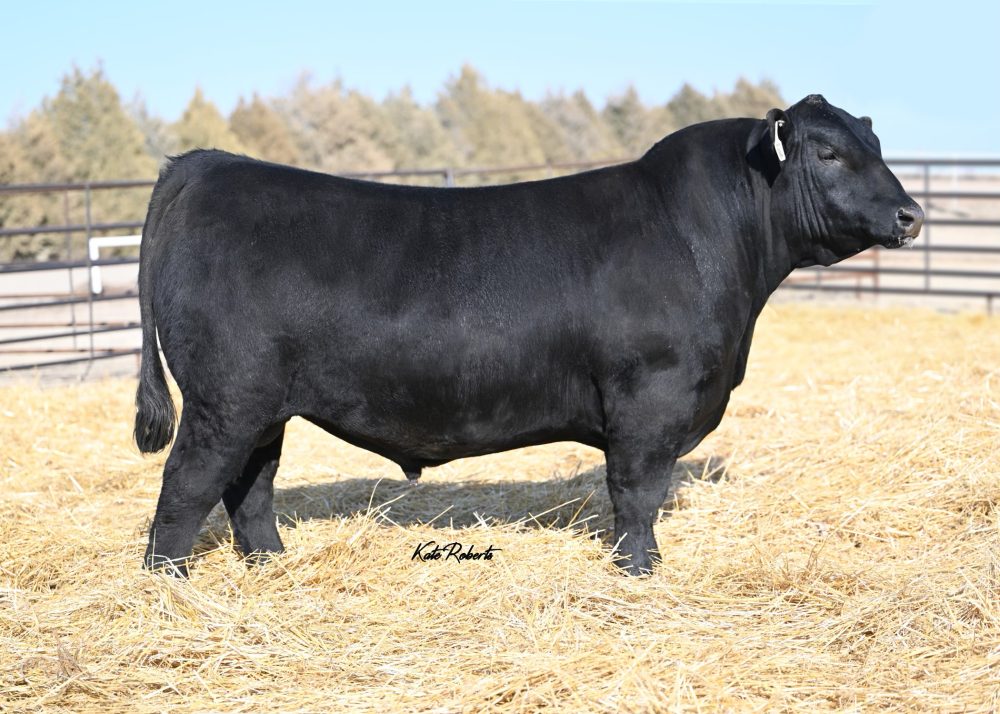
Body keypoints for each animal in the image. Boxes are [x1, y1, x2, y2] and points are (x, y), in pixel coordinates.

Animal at [134, 94, 923, 577]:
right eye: (826, 153)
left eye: (877, 141)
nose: (910, 214)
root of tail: (211, 164)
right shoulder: (650, 400)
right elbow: (636, 493)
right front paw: (641, 569)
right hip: (224, 400)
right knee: (187, 486)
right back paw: (170, 584)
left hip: (262, 405)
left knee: (250, 488)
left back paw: (273, 562)